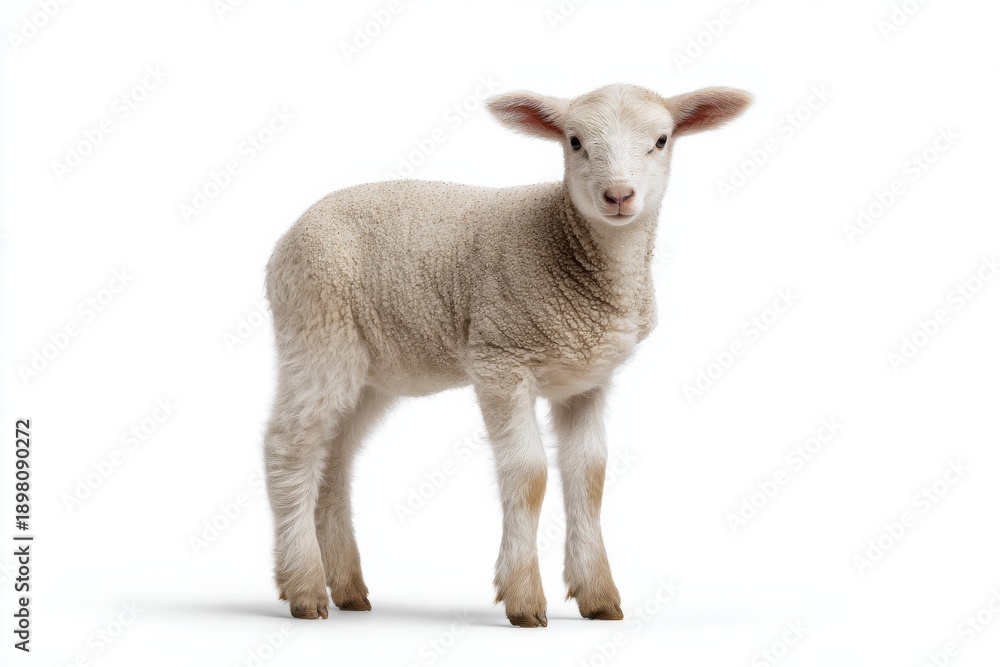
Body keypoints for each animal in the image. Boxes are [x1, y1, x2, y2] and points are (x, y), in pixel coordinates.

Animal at [263, 82, 751, 627]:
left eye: (662, 140)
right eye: (574, 141)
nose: (619, 196)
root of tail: (289, 235)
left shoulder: (587, 379)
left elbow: (590, 475)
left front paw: (599, 595)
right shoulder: (500, 359)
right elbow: (529, 474)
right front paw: (523, 598)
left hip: (372, 372)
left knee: (334, 460)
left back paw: (348, 588)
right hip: (317, 331)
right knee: (289, 447)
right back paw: (305, 588)